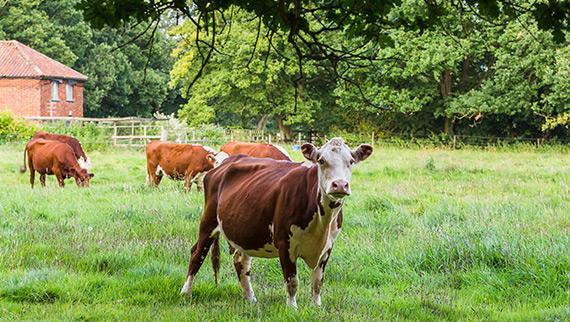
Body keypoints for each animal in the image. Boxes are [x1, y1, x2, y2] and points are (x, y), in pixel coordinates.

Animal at [180, 136, 370, 306]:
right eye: (321, 161)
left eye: (351, 161)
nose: (340, 185)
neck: (322, 222)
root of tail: (227, 162)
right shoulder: (284, 243)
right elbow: (292, 282)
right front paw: (292, 309)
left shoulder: (328, 246)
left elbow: (317, 281)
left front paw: (316, 307)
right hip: (208, 221)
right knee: (197, 254)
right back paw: (186, 293)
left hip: (246, 230)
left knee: (240, 261)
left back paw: (250, 299)